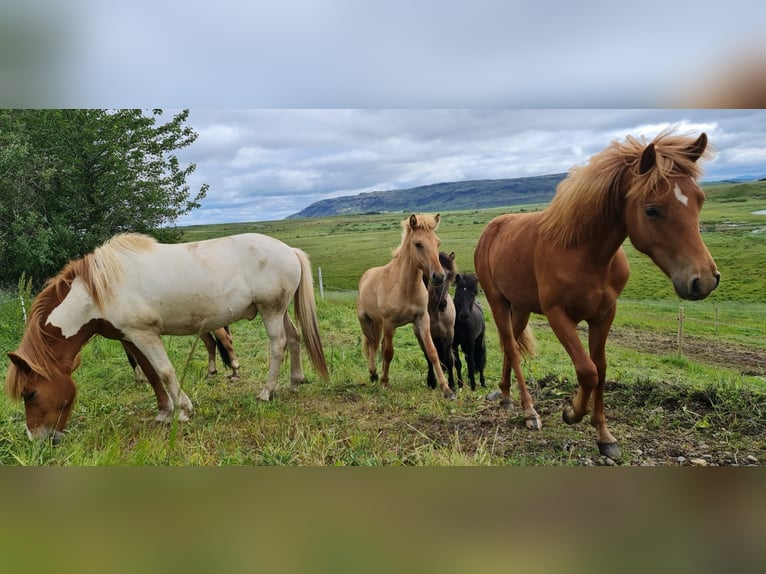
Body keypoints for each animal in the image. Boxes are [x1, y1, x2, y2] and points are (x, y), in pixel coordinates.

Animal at [5, 232, 329, 442]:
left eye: (29, 393)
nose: (37, 438)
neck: (97, 292)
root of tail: (288, 249)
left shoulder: (145, 333)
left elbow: (165, 371)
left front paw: (183, 411)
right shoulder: (132, 337)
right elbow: (150, 374)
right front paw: (164, 412)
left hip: (270, 310)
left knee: (278, 345)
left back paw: (266, 392)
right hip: (279, 310)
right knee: (295, 338)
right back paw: (294, 382)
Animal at [420, 251, 458, 390]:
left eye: (450, 275)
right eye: (433, 277)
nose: (442, 304)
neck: (435, 313)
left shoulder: (449, 334)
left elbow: (449, 358)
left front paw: (452, 384)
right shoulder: (422, 335)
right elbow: (428, 356)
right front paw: (431, 381)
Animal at [474, 129, 720, 460]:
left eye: (700, 200)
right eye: (651, 209)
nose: (703, 280)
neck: (585, 253)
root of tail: (493, 227)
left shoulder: (605, 314)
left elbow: (600, 368)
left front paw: (604, 435)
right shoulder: (558, 315)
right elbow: (586, 370)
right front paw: (572, 412)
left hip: (521, 307)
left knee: (509, 344)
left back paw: (504, 394)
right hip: (497, 300)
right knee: (512, 348)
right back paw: (529, 411)